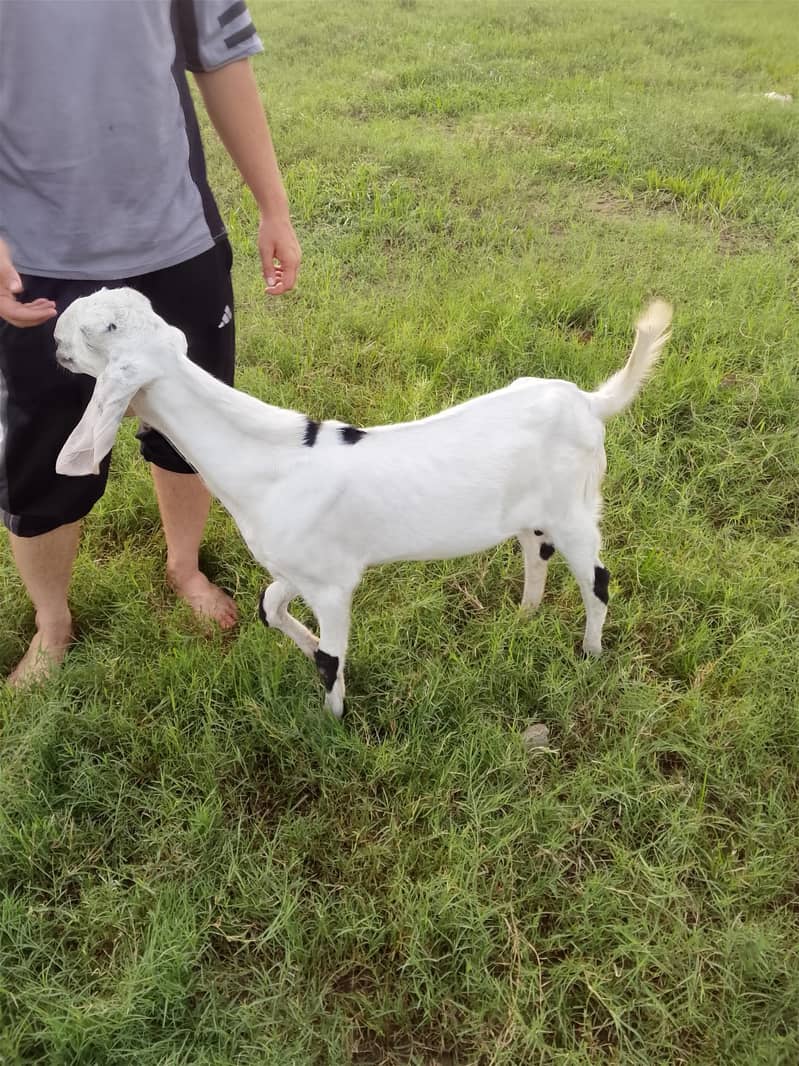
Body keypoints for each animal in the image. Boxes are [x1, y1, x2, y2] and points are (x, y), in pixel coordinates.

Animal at [55, 289, 672, 717]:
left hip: (575, 509)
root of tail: (588, 402)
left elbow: (333, 659)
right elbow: (268, 607)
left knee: (597, 578)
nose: (55, 334)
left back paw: (590, 653)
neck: (270, 460)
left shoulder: (332, 585)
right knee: (533, 551)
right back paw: (524, 617)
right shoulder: (297, 567)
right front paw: (305, 649)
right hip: (531, 511)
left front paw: (331, 724)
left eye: (101, 330)